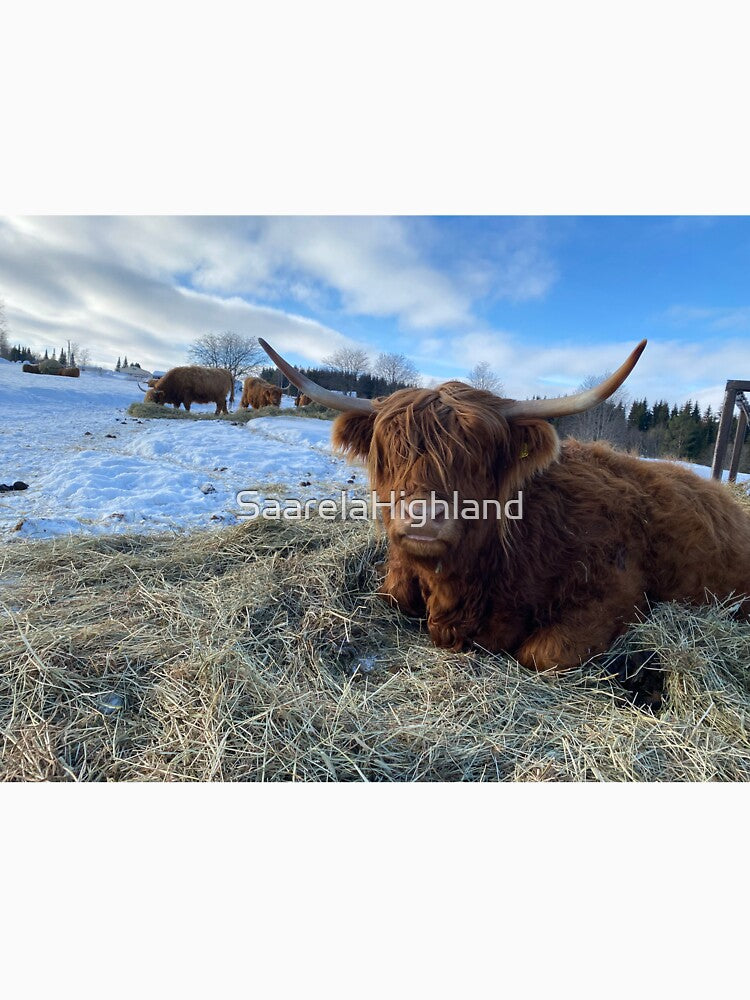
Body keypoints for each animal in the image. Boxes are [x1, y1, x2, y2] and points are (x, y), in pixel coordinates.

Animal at [259, 337, 750, 684]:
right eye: (392, 453)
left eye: (476, 457)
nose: (422, 516)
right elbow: (392, 593)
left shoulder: (619, 591)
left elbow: (542, 653)